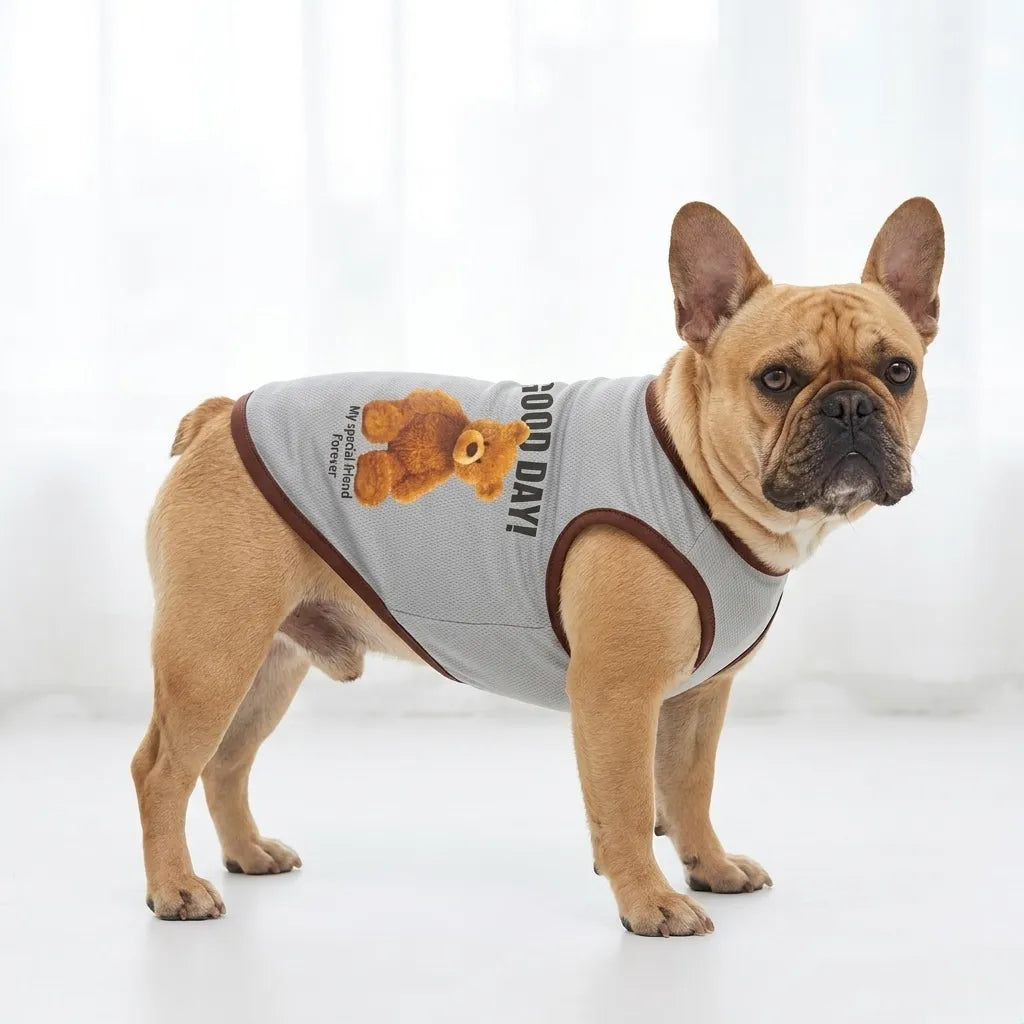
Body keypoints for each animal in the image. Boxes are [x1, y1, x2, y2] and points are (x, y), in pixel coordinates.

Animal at [353, 389, 530, 506]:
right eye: (486, 442)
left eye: (478, 462)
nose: (472, 448)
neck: (453, 443)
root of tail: (394, 449)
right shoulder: (447, 410)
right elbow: (424, 400)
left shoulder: (442, 472)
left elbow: (422, 483)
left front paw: (401, 493)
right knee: (399, 419)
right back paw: (376, 420)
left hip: (398, 466)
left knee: (386, 466)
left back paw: (369, 480)